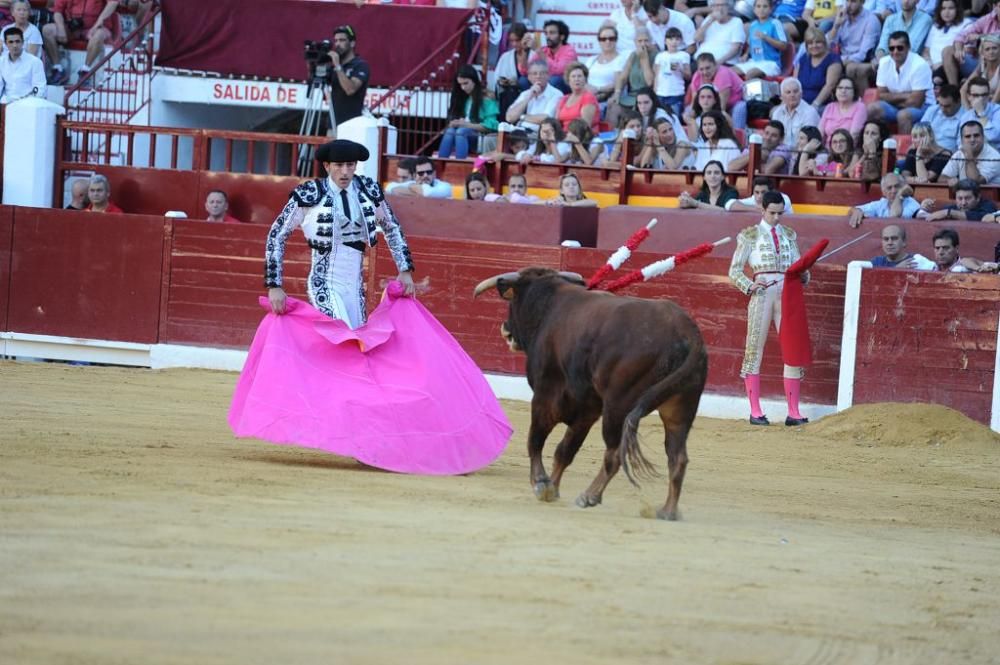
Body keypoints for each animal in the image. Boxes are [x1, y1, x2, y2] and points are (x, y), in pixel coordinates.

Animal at [472, 264, 708, 520]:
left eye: (513, 301)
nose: (505, 329)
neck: (548, 303)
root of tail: (685, 332)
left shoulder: (545, 396)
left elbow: (535, 440)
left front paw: (541, 482)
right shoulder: (588, 409)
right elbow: (565, 450)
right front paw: (553, 488)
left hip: (618, 406)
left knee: (615, 453)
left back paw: (590, 496)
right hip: (680, 410)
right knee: (678, 457)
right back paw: (668, 511)